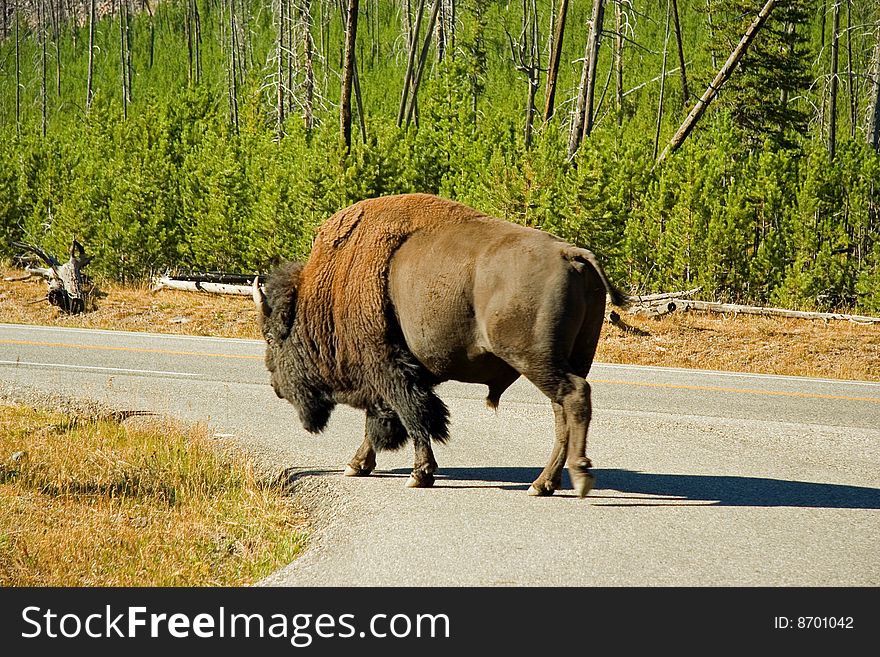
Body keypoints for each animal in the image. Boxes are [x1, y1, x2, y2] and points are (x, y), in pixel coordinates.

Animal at [251, 195, 628, 498]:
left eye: (270, 337)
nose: (275, 386)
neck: (331, 288)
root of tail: (570, 253)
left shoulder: (388, 368)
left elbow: (413, 416)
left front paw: (419, 475)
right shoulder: (400, 373)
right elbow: (387, 419)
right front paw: (358, 465)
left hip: (535, 358)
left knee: (574, 396)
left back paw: (576, 478)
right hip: (569, 358)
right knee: (562, 411)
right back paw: (544, 483)